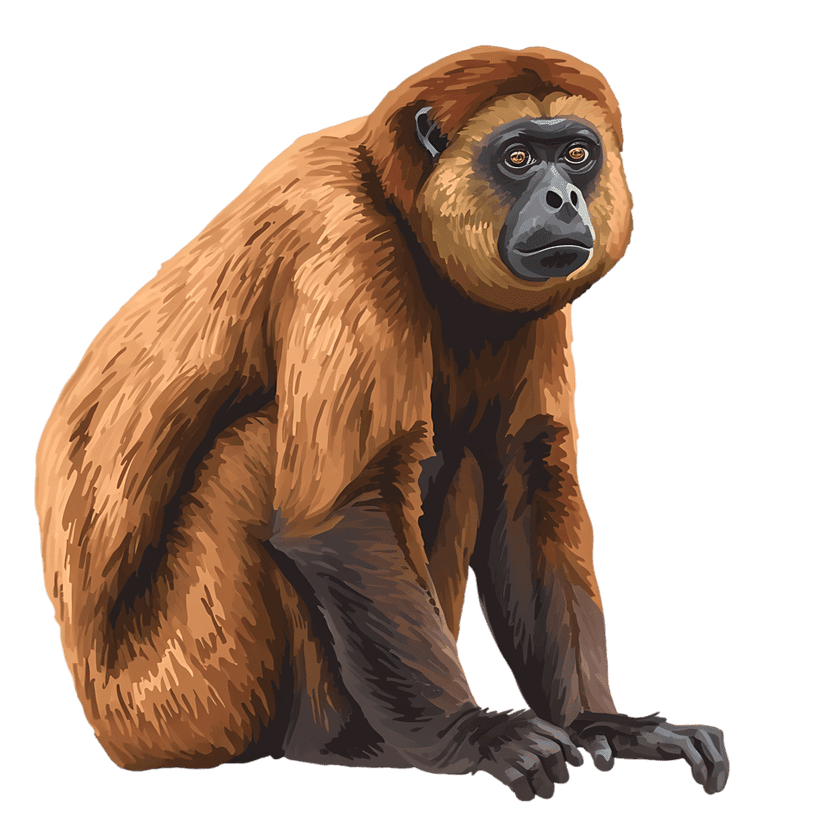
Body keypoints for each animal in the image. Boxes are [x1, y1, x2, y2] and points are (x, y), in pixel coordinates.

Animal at [35, 46, 729, 801]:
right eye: (518, 158)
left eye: (577, 155)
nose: (564, 199)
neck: (402, 206)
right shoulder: (345, 236)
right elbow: (342, 511)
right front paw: (473, 735)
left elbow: (525, 476)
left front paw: (603, 724)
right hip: (177, 698)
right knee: (253, 451)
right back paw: (339, 744)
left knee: (465, 460)